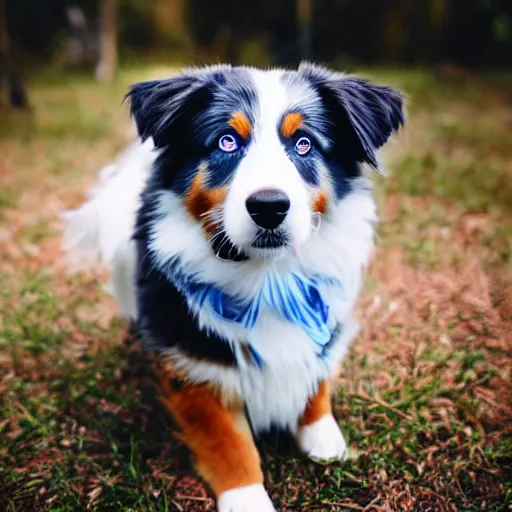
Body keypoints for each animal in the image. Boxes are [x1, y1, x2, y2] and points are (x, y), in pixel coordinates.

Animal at [63, 62, 404, 510]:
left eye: (304, 144)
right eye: (227, 141)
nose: (269, 207)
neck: (268, 276)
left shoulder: (323, 307)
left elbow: (317, 370)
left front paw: (322, 436)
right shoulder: (194, 361)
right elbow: (227, 441)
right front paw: (247, 498)